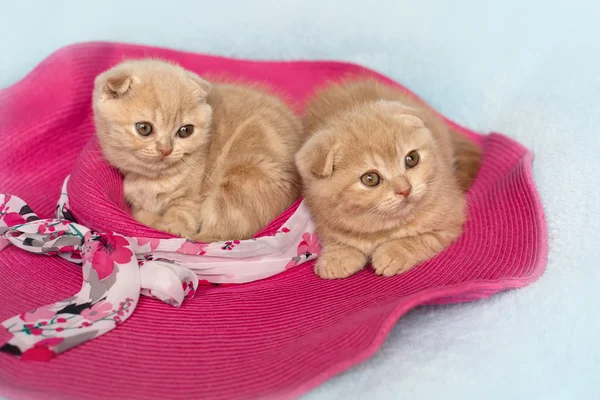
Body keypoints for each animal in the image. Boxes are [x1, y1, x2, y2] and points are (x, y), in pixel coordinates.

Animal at [93, 59, 302, 241]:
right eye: (144, 128)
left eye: (185, 131)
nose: (165, 149)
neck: (154, 181)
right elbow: (141, 214)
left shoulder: (190, 200)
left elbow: (181, 216)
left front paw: (169, 227)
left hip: (239, 181)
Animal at [296, 78, 482, 278]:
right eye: (370, 179)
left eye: (412, 158)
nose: (405, 189)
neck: (382, 229)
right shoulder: (322, 215)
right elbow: (334, 236)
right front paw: (338, 255)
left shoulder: (450, 220)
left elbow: (419, 238)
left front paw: (393, 253)